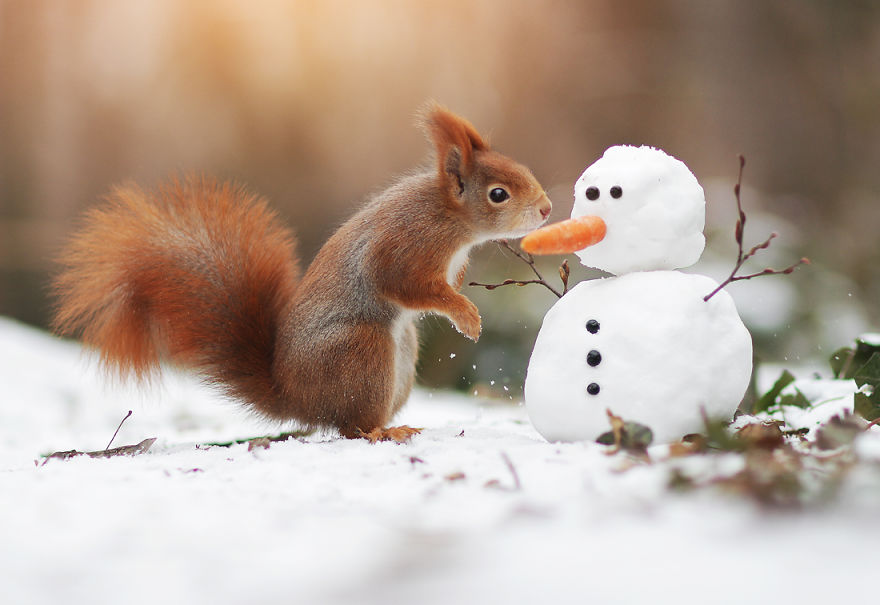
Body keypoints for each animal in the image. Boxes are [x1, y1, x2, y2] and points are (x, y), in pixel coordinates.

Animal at [51, 106, 552, 442]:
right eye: (499, 194)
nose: (547, 209)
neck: (449, 218)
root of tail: (298, 400)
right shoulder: (405, 245)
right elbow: (404, 285)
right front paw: (465, 314)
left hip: (400, 353)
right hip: (361, 348)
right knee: (350, 427)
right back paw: (381, 432)